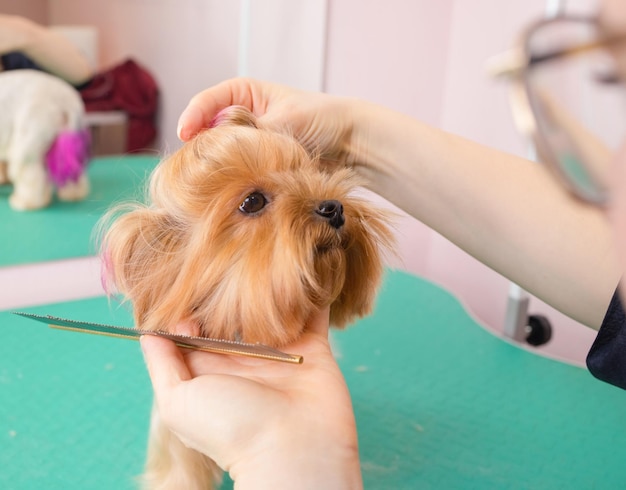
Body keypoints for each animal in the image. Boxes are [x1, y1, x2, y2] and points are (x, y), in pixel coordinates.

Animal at [0, 68, 90, 210]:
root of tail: (65, 100)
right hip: (64, 139)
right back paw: (73, 194)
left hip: (28, 136)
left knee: (30, 174)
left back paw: (25, 201)